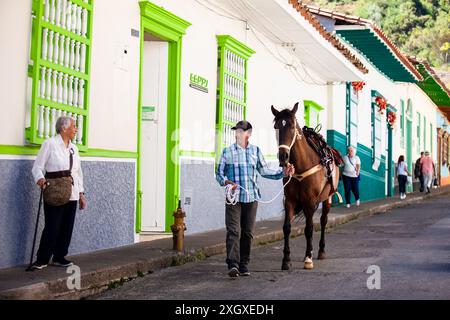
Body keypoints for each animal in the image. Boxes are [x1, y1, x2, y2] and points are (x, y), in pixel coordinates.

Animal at [270, 102, 342, 270]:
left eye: (291, 126)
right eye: (276, 126)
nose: (283, 157)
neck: (302, 165)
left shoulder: (310, 200)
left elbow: (309, 229)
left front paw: (308, 259)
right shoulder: (289, 200)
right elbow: (287, 228)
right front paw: (286, 260)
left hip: (327, 199)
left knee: (322, 221)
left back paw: (320, 251)